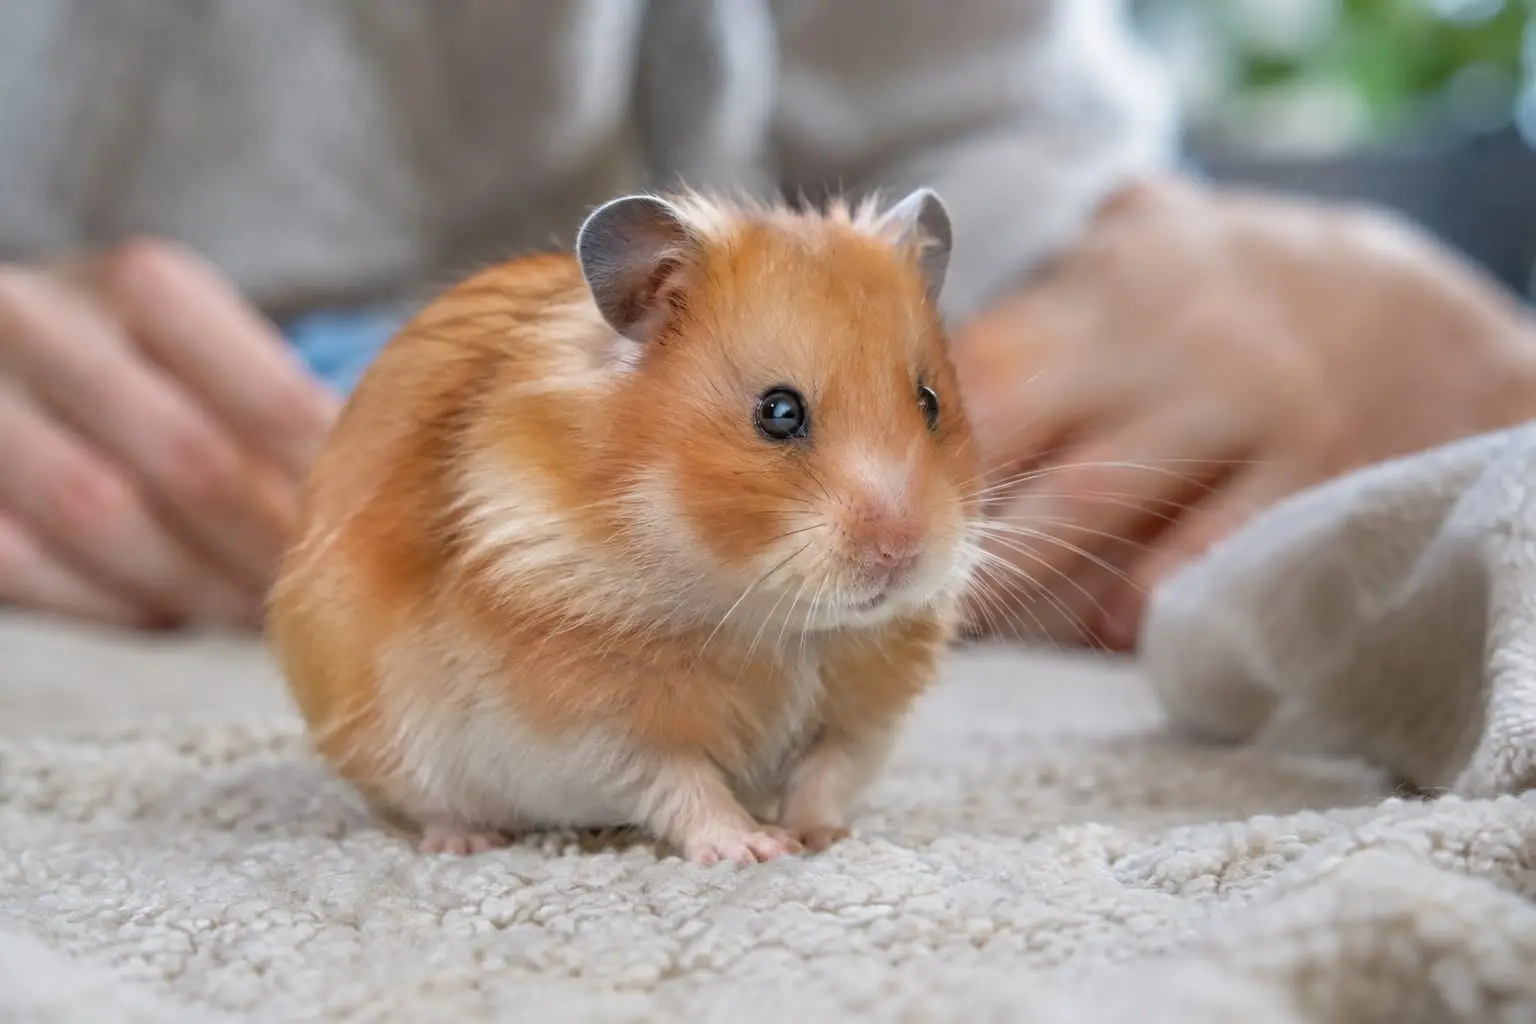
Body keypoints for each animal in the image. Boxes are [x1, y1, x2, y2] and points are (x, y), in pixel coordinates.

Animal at [265, 187, 980, 864]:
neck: (779, 623)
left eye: (930, 401)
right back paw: (465, 842)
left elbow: (823, 776)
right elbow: (683, 782)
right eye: (779, 413)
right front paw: (755, 847)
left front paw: (822, 837)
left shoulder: (858, 720)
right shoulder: (592, 726)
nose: (899, 554)